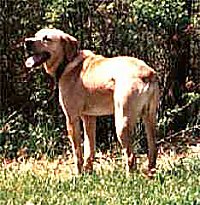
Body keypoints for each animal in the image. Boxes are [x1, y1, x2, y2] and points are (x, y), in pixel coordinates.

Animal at [24, 28, 159, 176]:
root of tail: (148, 73)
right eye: (36, 35)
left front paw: (78, 175)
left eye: (46, 38)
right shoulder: (89, 118)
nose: (27, 42)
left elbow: (78, 153)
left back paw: (130, 177)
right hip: (149, 118)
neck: (67, 62)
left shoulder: (72, 118)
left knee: (131, 156)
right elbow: (90, 150)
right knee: (153, 149)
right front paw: (88, 173)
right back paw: (150, 175)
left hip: (122, 122)